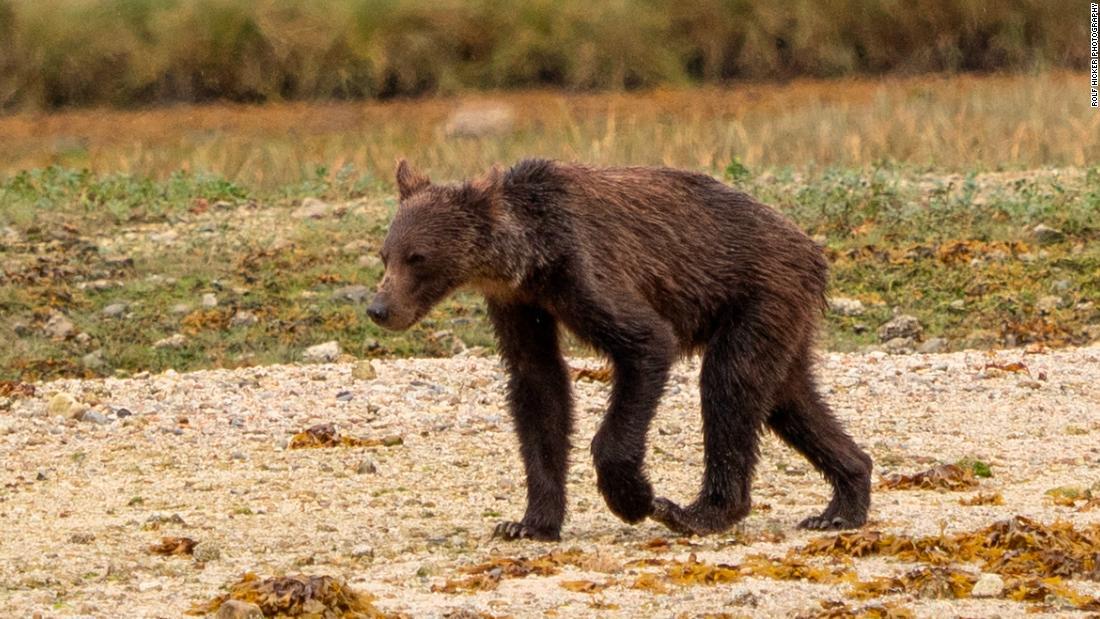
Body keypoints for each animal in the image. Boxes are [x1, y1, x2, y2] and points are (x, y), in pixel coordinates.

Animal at [367, 158, 866, 543]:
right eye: (385, 255)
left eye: (417, 257)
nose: (379, 308)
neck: (531, 258)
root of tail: (812, 249)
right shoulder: (519, 303)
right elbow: (539, 387)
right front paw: (528, 523)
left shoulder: (585, 270)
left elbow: (646, 344)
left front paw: (634, 497)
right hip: (781, 316)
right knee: (787, 397)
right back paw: (843, 501)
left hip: (759, 293)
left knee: (731, 383)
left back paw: (697, 512)